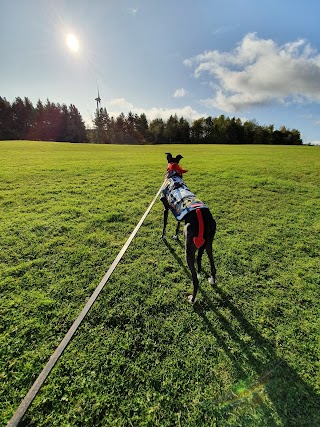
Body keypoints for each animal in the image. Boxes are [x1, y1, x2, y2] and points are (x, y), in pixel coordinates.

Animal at [161, 154, 216, 304]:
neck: (174, 174)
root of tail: (203, 216)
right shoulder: (179, 213)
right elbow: (177, 224)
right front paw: (175, 236)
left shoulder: (166, 208)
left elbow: (165, 224)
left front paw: (163, 237)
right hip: (209, 243)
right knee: (213, 266)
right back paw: (212, 280)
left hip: (189, 248)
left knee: (195, 279)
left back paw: (193, 298)